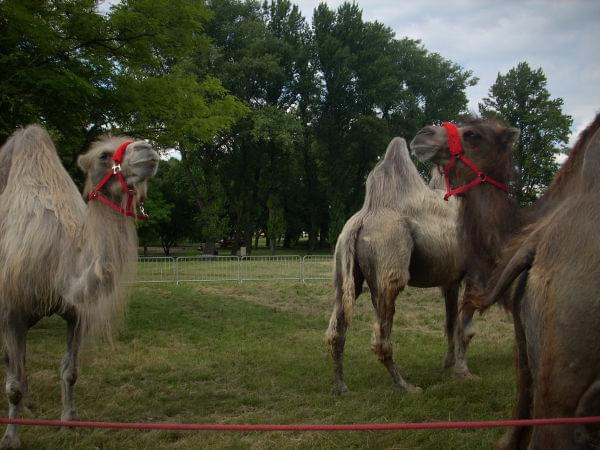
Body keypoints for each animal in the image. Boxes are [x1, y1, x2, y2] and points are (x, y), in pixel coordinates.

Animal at [0, 125, 159, 448]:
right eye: (104, 155)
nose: (148, 149)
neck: (57, 265)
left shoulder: (76, 314)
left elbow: (70, 371)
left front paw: (69, 421)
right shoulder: (12, 312)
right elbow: (13, 384)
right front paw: (10, 436)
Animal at [324, 136, 478, 394]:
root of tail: (363, 218)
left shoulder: (450, 279)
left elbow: (451, 322)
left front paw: (448, 366)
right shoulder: (474, 273)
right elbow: (465, 328)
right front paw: (463, 373)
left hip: (343, 265)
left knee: (337, 327)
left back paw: (340, 386)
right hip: (389, 260)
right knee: (381, 335)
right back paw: (406, 386)